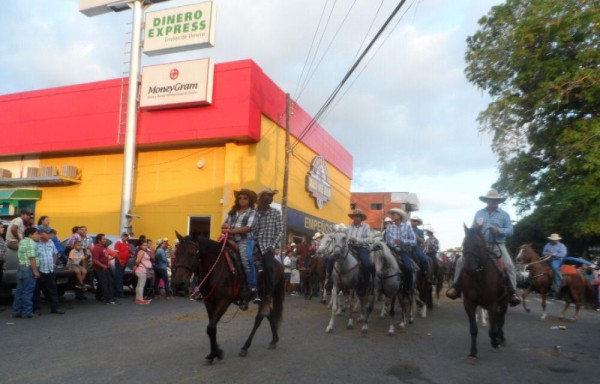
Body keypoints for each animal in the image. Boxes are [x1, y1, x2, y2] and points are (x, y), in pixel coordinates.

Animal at [172, 232, 284, 362]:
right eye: (176, 253)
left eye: (192, 254)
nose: (178, 283)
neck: (215, 268)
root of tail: (278, 264)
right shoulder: (209, 302)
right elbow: (212, 327)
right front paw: (214, 352)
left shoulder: (224, 301)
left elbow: (211, 327)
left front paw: (216, 353)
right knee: (269, 314)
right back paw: (274, 340)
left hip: (263, 295)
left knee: (259, 318)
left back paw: (245, 347)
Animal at [460, 225, 506, 360]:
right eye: (464, 244)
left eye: (477, 245)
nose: (468, 268)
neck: (479, 277)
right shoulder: (469, 303)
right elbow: (473, 329)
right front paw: (473, 353)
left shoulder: (492, 304)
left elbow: (493, 330)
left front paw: (495, 343)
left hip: (504, 303)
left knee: (501, 321)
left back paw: (501, 339)